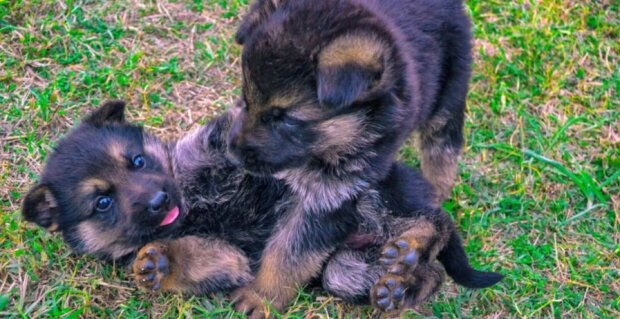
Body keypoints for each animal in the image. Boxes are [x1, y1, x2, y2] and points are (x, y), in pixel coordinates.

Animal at [21, 102, 502, 316]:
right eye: (102, 202)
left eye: (137, 161)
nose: (160, 201)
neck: (194, 202)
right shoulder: (229, 257)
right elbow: (203, 259)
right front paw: (159, 264)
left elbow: (290, 244)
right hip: (346, 268)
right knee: (425, 273)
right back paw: (402, 282)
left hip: (378, 198)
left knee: (436, 223)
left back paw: (414, 244)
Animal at [228, 0, 474, 316]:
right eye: (246, 100)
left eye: (286, 119)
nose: (233, 153)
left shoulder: (332, 194)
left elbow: (289, 252)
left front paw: (262, 297)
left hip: (449, 89)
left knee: (442, 150)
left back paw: (422, 224)